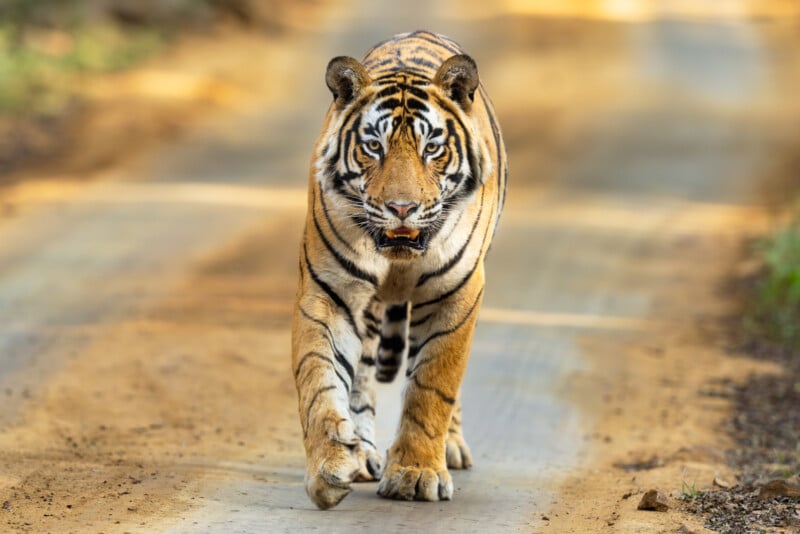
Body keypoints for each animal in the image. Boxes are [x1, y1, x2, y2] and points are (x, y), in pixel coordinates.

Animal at [292, 30, 506, 510]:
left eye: (432, 148)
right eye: (375, 146)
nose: (402, 208)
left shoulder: (456, 294)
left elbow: (432, 386)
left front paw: (416, 474)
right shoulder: (330, 291)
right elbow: (319, 378)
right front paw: (330, 464)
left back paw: (450, 448)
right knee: (362, 379)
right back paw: (362, 454)